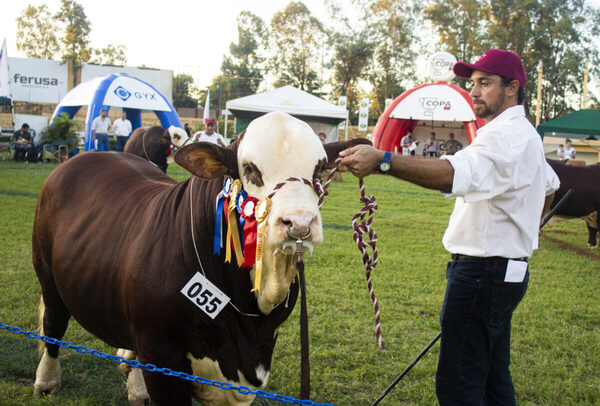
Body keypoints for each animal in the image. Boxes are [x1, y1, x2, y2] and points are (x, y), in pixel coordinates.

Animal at [31, 112, 366, 406]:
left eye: (320, 170)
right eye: (250, 168)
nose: (299, 223)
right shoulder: (162, 357)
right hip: (47, 273)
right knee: (53, 324)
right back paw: (46, 381)